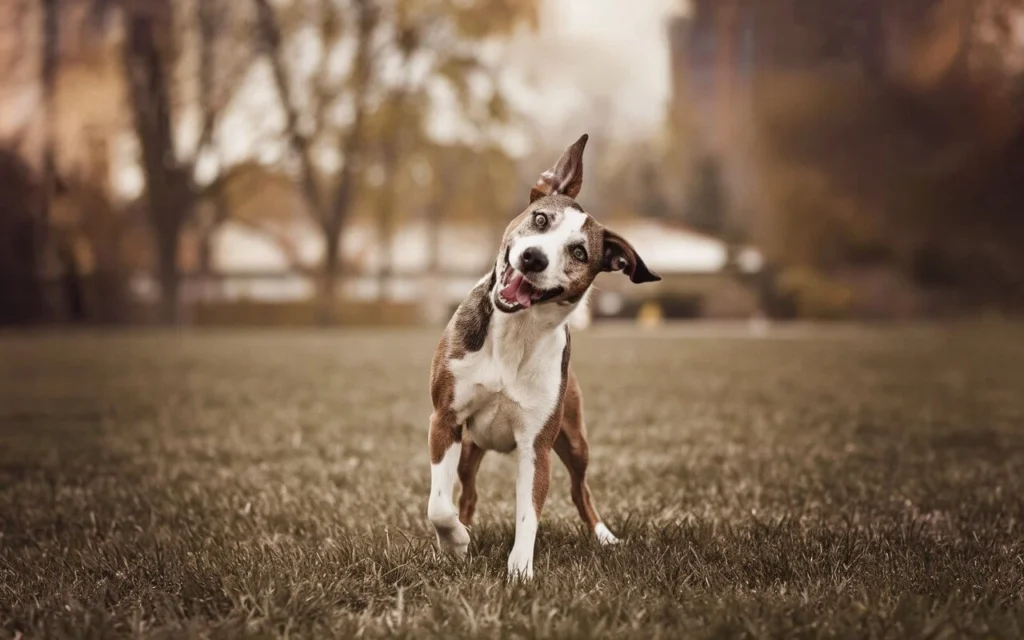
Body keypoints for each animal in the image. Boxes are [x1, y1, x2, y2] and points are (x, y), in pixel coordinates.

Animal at [425, 133, 659, 577]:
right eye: (540, 220)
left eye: (580, 252)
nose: (533, 257)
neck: (516, 331)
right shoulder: (446, 419)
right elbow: (438, 506)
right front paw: (455, 542)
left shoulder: (536, 447)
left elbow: (528, 514)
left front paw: (520, 572)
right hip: (471, 448)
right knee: (467, 493)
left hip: (575, 440)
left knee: (581, 490)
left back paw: (604, 536)